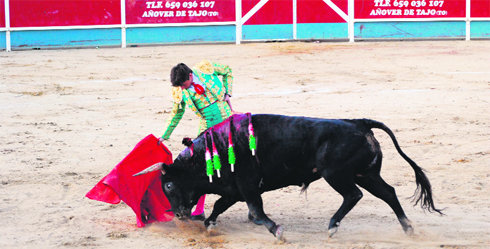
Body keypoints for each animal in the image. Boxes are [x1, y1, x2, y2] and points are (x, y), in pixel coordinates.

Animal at [135, 114, 444, 239]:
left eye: (168, 184)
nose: (178, 214)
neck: (215, 150)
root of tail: (358, 123)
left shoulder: (247, 187)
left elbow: (256, 213)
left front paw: (278, 231)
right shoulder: (234, 190)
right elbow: (220, 206)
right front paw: (210, 225)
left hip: (337, 175)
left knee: (353, 195)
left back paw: (332, 227)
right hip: (366, 173)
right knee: (388, 193)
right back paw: (408, 229)